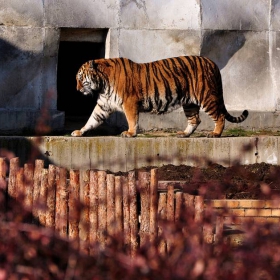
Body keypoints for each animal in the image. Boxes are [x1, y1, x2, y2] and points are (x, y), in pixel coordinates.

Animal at [71, 56, 248, 138]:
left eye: (80, 78)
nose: (77, 90)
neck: (103, 85)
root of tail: (212, 62)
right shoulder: (104, 105)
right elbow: (92, 119)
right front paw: (79, 131)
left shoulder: (129, 102)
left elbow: (132, 119)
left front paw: (130, 133)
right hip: (190, 103)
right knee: (195, 120)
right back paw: (184, 134)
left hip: (206, 97)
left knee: (220, 116)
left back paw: (215, 134)